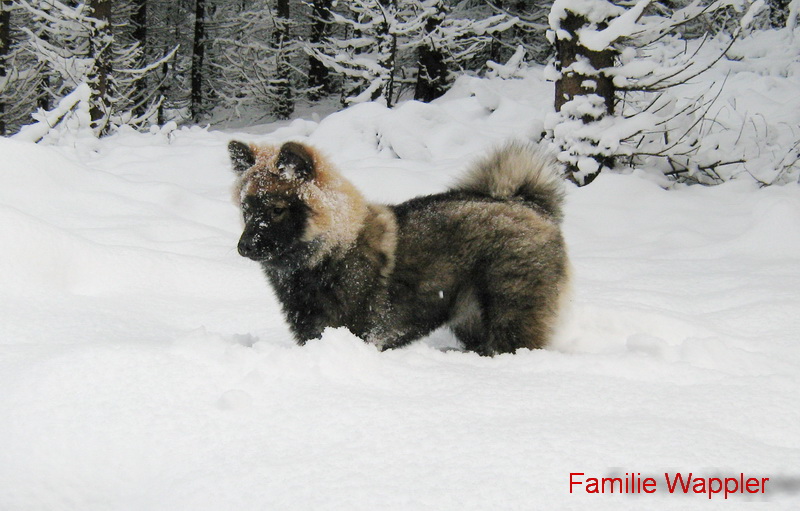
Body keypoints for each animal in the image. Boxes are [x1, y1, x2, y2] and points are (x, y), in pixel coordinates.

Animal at [227, 140, 570, 355]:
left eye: (276, 210)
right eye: (247, 209)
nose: (243, 248)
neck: (332, 250)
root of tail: (529, 205)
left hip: (510, 316)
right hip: (471, 318)